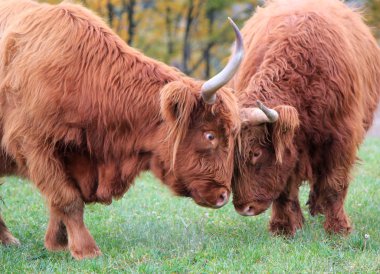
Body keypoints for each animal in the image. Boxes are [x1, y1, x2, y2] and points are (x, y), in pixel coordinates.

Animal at [0, 0, 243, 260]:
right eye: (210, 135)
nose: (223, 196)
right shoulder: (34, 145)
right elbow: (67, 198)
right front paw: (85, 249)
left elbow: (61, 200)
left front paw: (58, 242)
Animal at [230, 0, 380, 235]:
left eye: (255, 153)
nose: (244, 208)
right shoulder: (292, 144)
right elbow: (285, 187)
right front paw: (284, 227)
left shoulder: (340, 138)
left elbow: (334, 184)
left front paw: (338, 229)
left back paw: (319, 209)